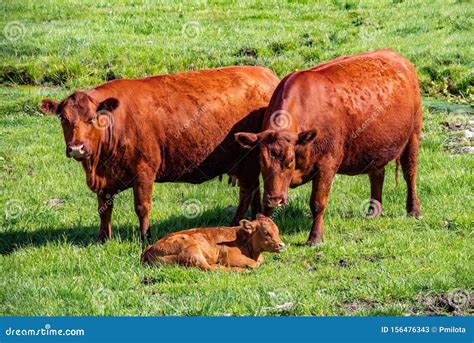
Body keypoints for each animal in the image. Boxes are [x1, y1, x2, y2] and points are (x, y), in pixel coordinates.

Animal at [40, 66, 280, 242]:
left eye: (92, 118)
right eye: (63, 118)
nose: (76, 148)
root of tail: (265, 73)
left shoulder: (144, 171)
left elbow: (142, 207)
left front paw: (145, 237)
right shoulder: (104, 179)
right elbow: (104, 208)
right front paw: (103, 238)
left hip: (247, 160)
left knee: (246, 192)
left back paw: (234, 223)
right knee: (253, 190)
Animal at [139, 214, 284, 272]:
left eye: (277, 230)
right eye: (266, 232)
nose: (281, 245)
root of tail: (149, 248)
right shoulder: (230, 256)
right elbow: (254, 264)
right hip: (192, 251)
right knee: (209, 268)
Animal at [236, 49, 422, 246]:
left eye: (290, 161)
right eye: (261, 162)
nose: (275, 199)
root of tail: (397, 57)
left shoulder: (327, 165)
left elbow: (318, 203)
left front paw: (315, 237)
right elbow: (266, 209)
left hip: (413, 136)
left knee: (410, 174)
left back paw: (414, 210)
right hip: (375, 146)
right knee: (377, 175)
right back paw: (374, 211)